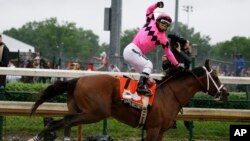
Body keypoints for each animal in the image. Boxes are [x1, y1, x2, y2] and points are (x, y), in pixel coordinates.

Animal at [27, 59, 229, 141]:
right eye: (215, 77)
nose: (226, 93)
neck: (169, 95)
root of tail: (76, 80)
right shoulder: (153, 128)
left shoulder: (160, 130)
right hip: (94, 113)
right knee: (65, 121)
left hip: (80, 110)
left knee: (56, 122)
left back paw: (38, 136)